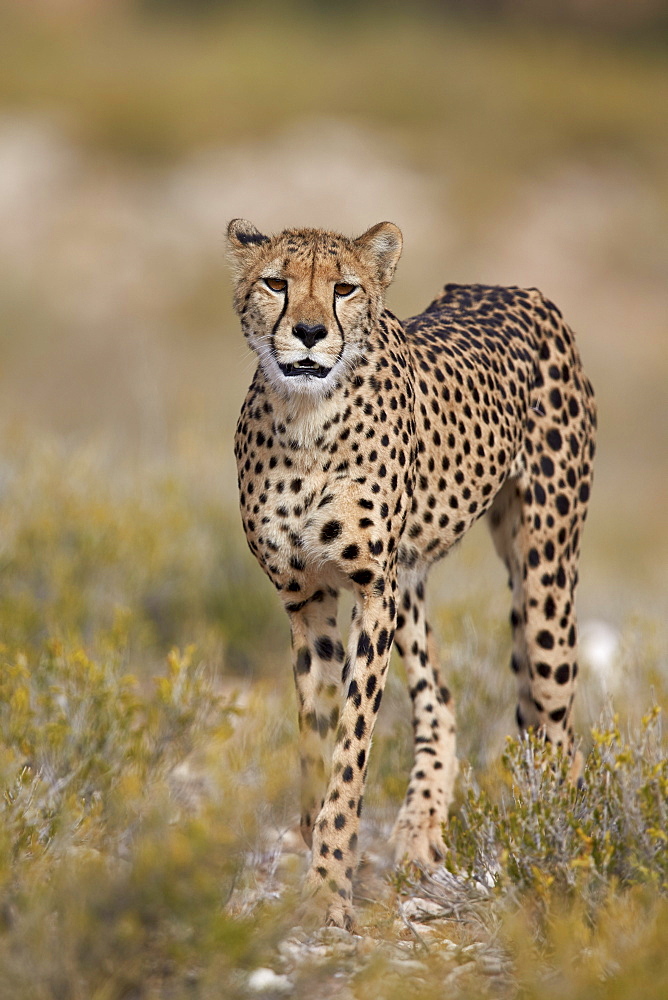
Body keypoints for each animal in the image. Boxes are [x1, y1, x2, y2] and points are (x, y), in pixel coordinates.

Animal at [228, 217, 596, 928]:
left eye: (344, 288)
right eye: (275, 282)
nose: (308, 332)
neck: (305, 417)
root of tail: (510, 287)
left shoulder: (372, 591)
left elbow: (351, 750)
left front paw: (329, 888)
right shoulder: (307, 597)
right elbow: (316, 737)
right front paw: (316, 852)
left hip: (544, 575)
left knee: (558, 732)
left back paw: (559, 856)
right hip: (413, 578)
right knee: (444, 699)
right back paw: (421, 827)